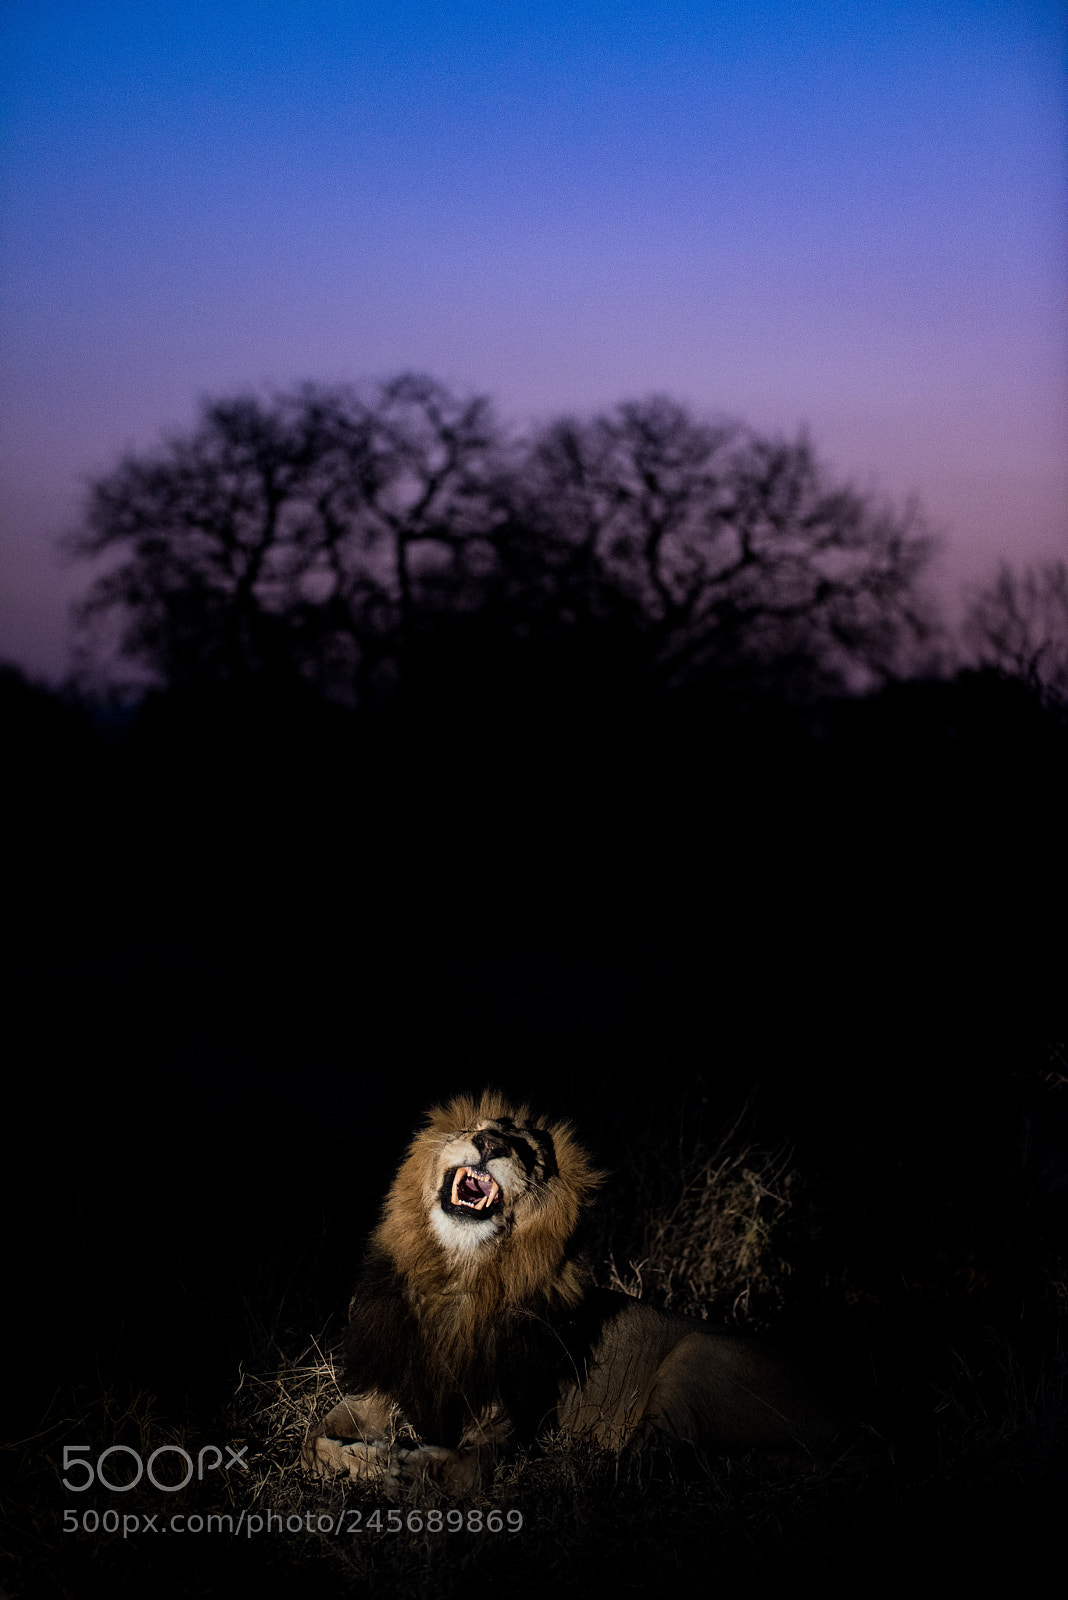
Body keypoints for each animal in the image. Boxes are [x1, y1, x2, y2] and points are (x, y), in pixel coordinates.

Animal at [302, 1091, 840, 1494]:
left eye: (531, 1156)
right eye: (476, 1128)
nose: (489, 1141)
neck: (455, 1275)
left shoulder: (507, 1419)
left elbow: (465, 1470)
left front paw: (408, 1468)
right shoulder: (376, 1387)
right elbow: (314, 1445)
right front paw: (368, 1458)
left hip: (698, 1355)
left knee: (639, 1470)